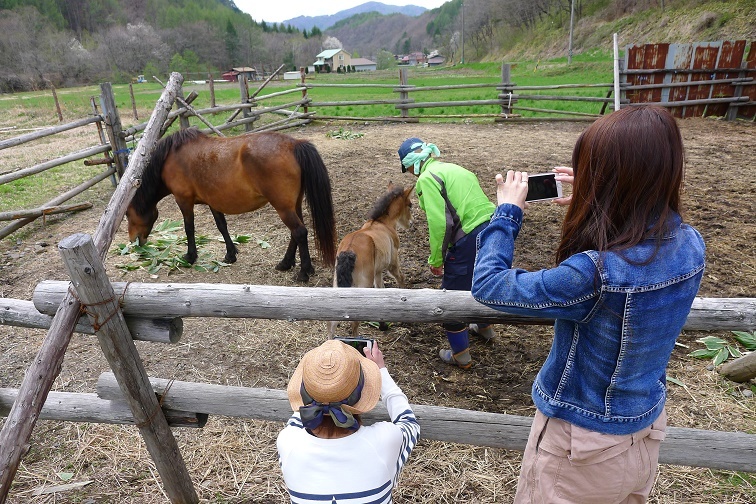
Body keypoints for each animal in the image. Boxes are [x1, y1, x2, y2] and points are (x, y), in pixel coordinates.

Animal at [127, 128, 336, 282]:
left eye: (127, 214)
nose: (133, 241)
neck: (171, 158)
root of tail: (294, 144)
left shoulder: (183, 200)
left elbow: (189, 228)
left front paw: (190, 256)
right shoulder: (213, 201)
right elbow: (222, 226)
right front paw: (230, 254)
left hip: (283, 207)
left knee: (299, 232)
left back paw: (304, 272)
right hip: (293, 205)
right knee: (296, 233)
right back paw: (286, 263)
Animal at [330, 183, 414, 336]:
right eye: (410, 205)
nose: (411, 223)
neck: (383, 223)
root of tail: (348, 252)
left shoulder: (377, 271)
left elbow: (380, 289)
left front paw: (383, 325)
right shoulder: (393, 263)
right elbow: (400, 278)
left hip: (337, 286)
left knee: (331, 323)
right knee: (354, 323)